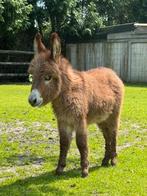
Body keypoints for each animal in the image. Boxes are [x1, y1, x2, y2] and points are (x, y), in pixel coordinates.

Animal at [27, 32, 124, 178]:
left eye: (48, 77)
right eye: (32, 76)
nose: (32, 100)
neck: (67, 92)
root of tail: (112, 72)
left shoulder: (80, 121)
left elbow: (82, 144)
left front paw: (84, 170)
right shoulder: (63, 122)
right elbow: (63, 144)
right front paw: (59, 169)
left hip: (113, 116)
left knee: (113, 135)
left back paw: (113, 160)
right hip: (102, 119)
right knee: (107, 137)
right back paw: (105, 160)